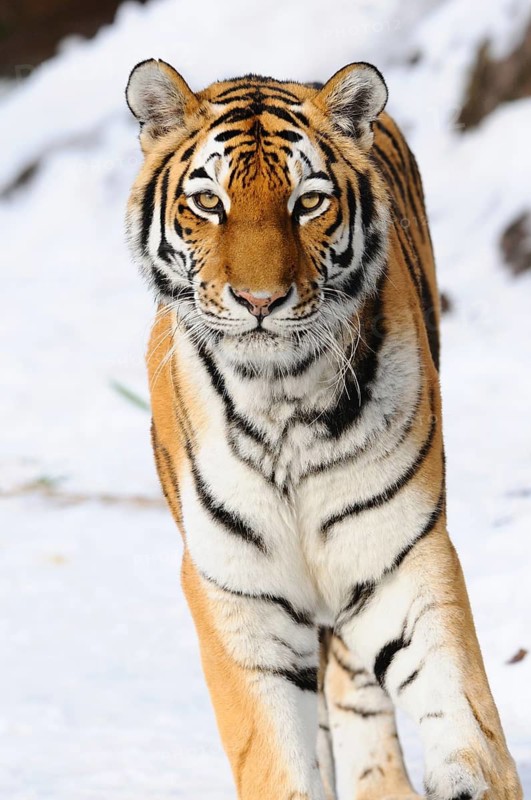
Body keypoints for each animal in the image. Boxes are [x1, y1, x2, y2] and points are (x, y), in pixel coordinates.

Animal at [125, 58, 522, 800]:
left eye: (307, 203)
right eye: (209, 203)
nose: (259, 302)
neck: (279, 398)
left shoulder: (400, 554)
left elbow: (460, 718)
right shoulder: (236, 593)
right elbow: (276, 754)